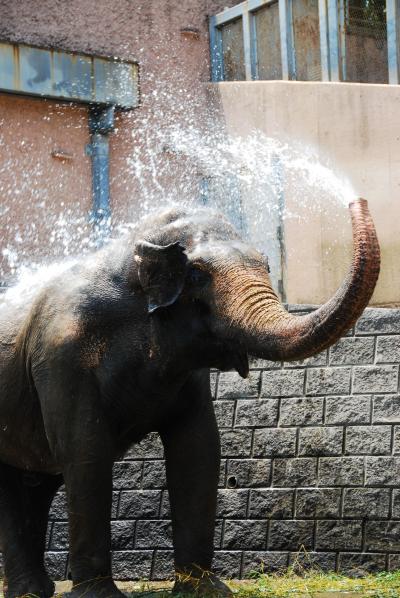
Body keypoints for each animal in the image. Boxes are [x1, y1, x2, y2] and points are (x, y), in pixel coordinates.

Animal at [0, 198, 378, 598]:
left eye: (266, 265)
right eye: (195, 275)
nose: (357, 200)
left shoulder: (189, 376)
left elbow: (197, 448)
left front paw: (205, 589)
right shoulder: (63, 356)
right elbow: (84, 451)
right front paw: (99, 596)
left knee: (37, 484)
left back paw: (33, 591)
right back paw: (29, 591)